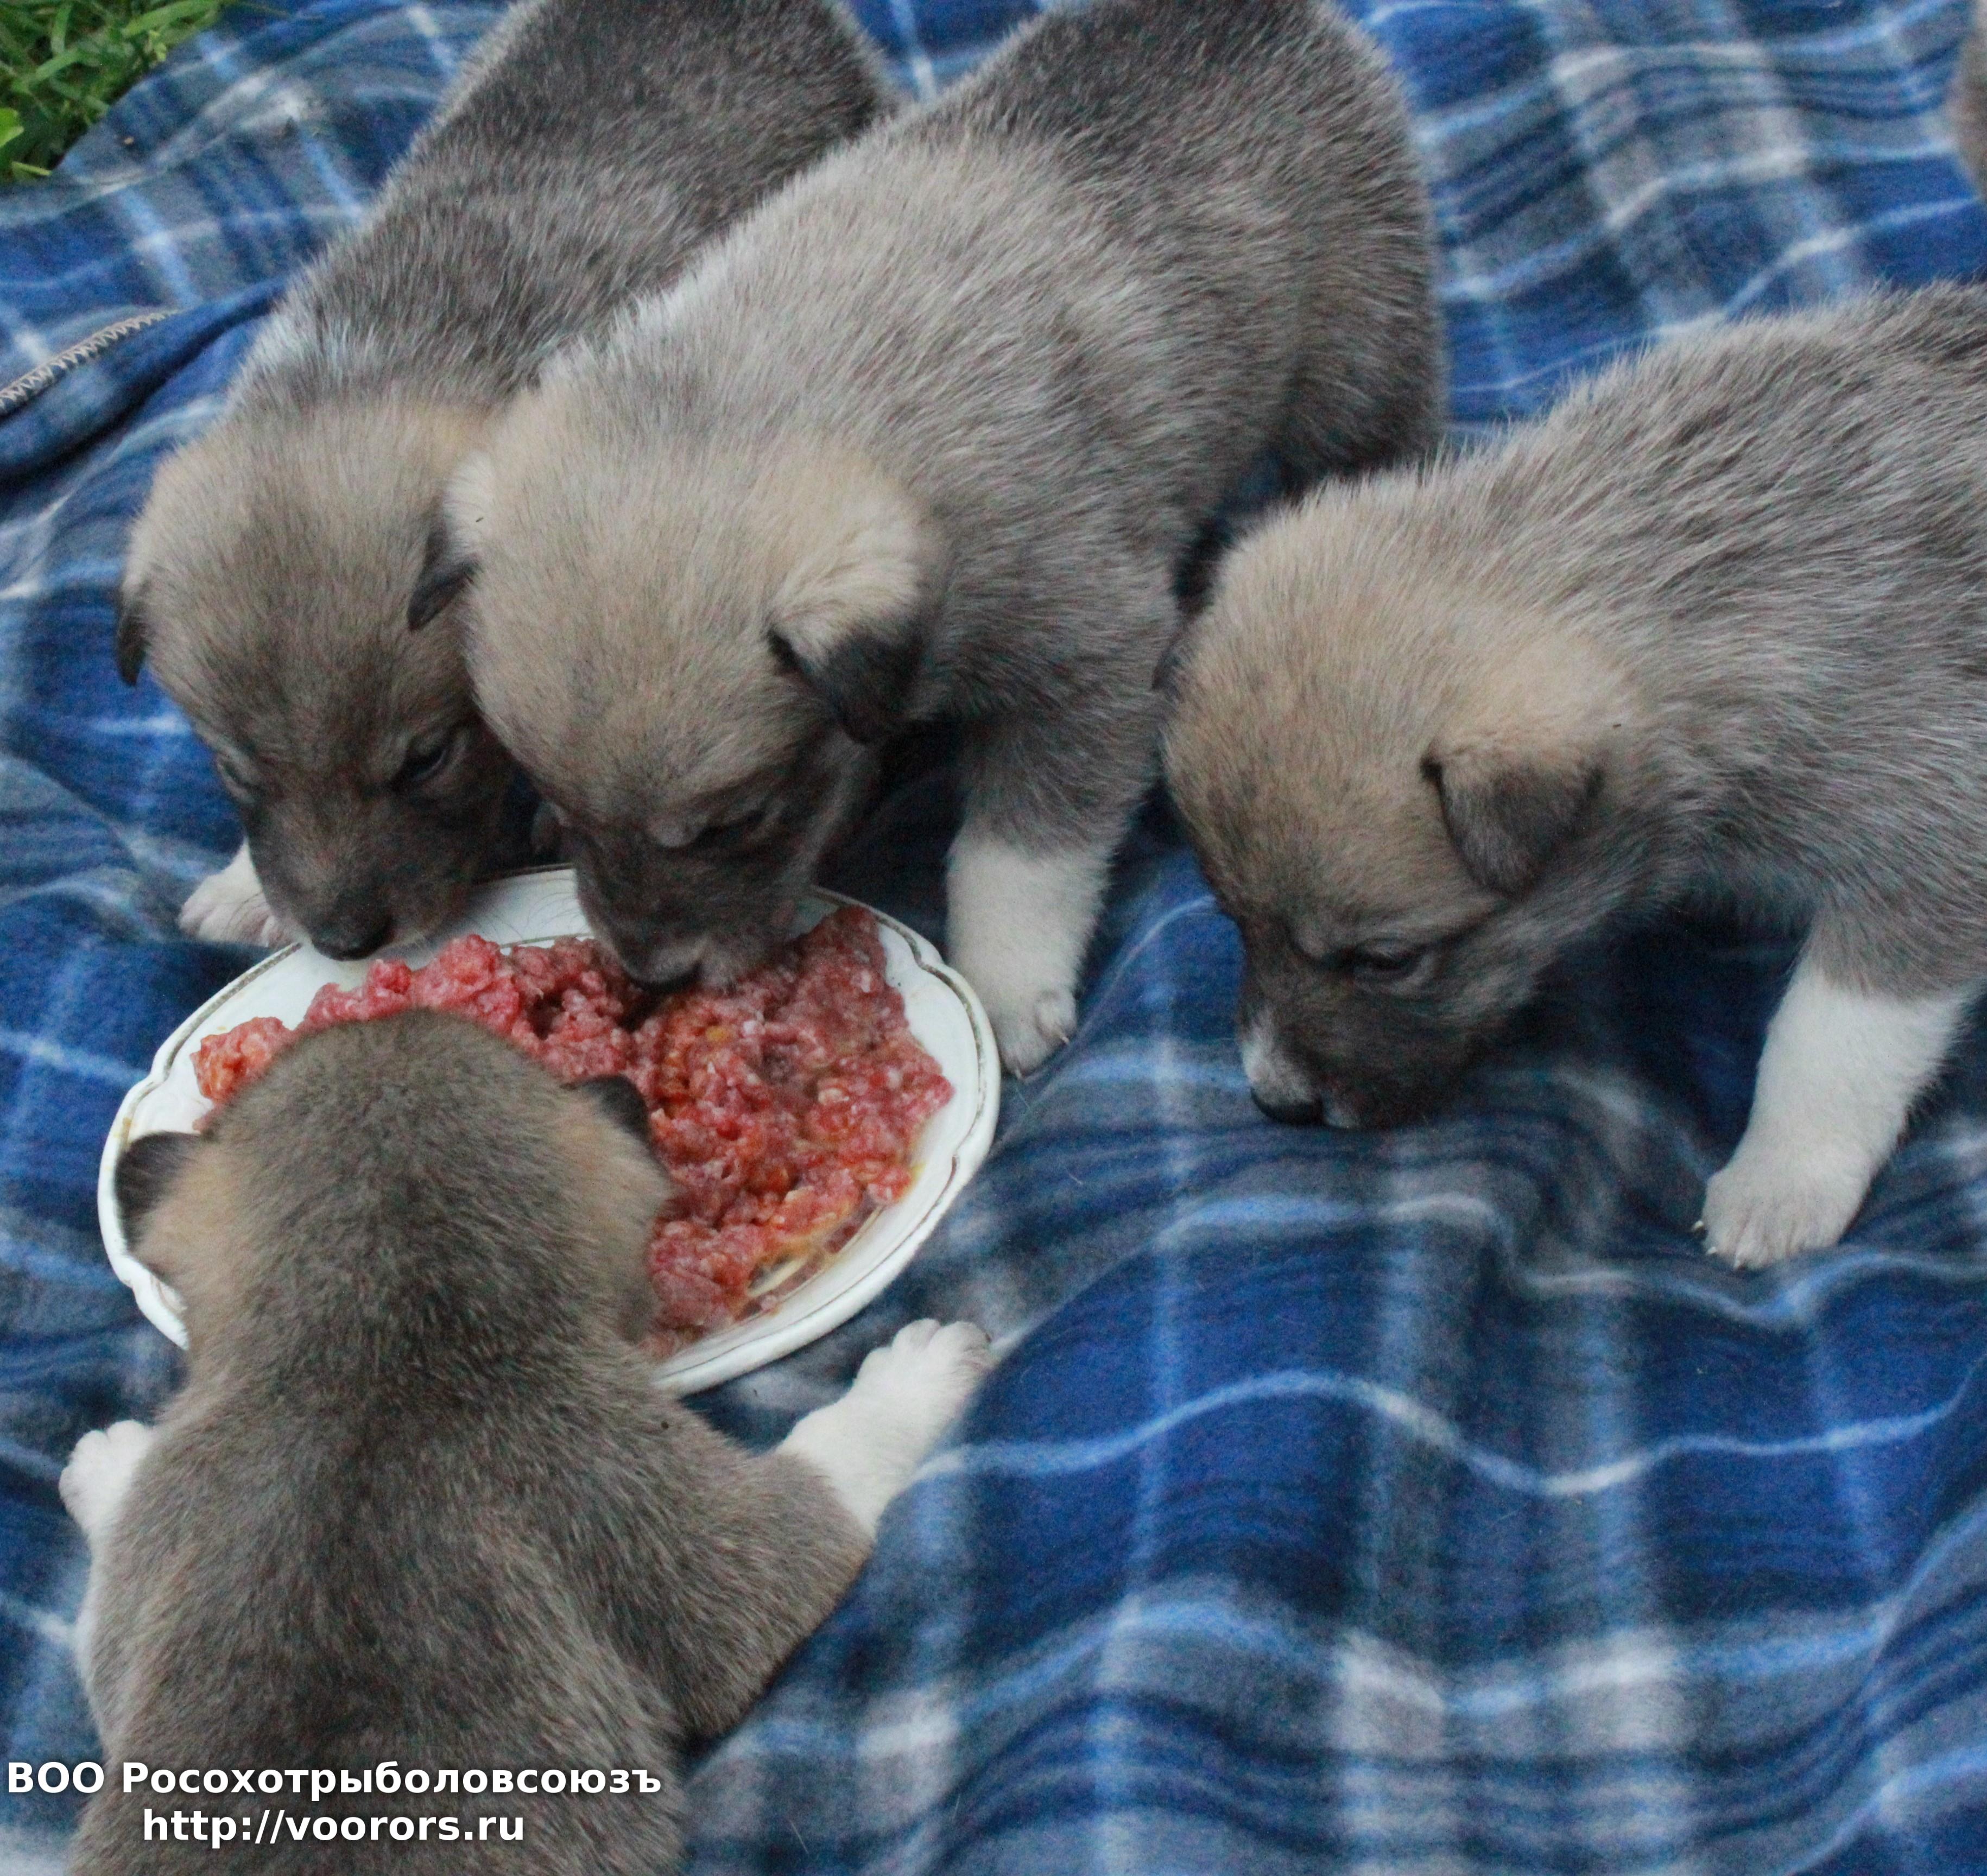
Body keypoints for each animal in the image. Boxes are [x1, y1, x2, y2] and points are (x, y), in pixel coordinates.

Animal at [61, 1010, 990, 1873]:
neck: (386, 1347)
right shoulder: (688, 1534)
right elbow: (835, 1456)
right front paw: (914, 1377)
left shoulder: (135, 1603)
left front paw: (106, 1465)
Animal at [447, 0, 1443, 1072]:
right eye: (554, 797)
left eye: (736, 820)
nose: (652, 974)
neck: (767, 406)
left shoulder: (1087, 659)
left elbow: (1019, 854)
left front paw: (1004, 988)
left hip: (1358, 356)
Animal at [1164, 285, 1987, 1268]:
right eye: (1232, 921)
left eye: (1388, 960)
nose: (1276, 1100)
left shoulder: (1926, 832)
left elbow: (1831, 1038)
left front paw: (1781, 1178)